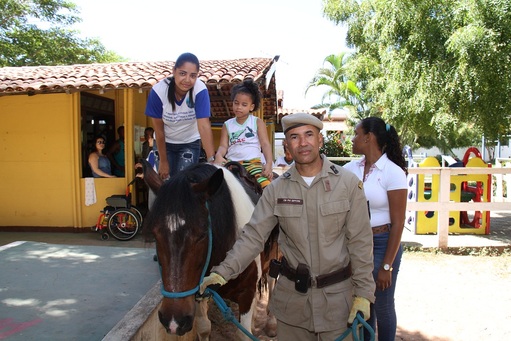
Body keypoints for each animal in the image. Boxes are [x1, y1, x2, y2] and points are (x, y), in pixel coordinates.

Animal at [142, 160, 266, 340]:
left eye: (202, 235)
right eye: (155, 234)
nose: (173, 321)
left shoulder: (247, 292)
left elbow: (244, 333)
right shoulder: (198, 290)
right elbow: (204, 327)